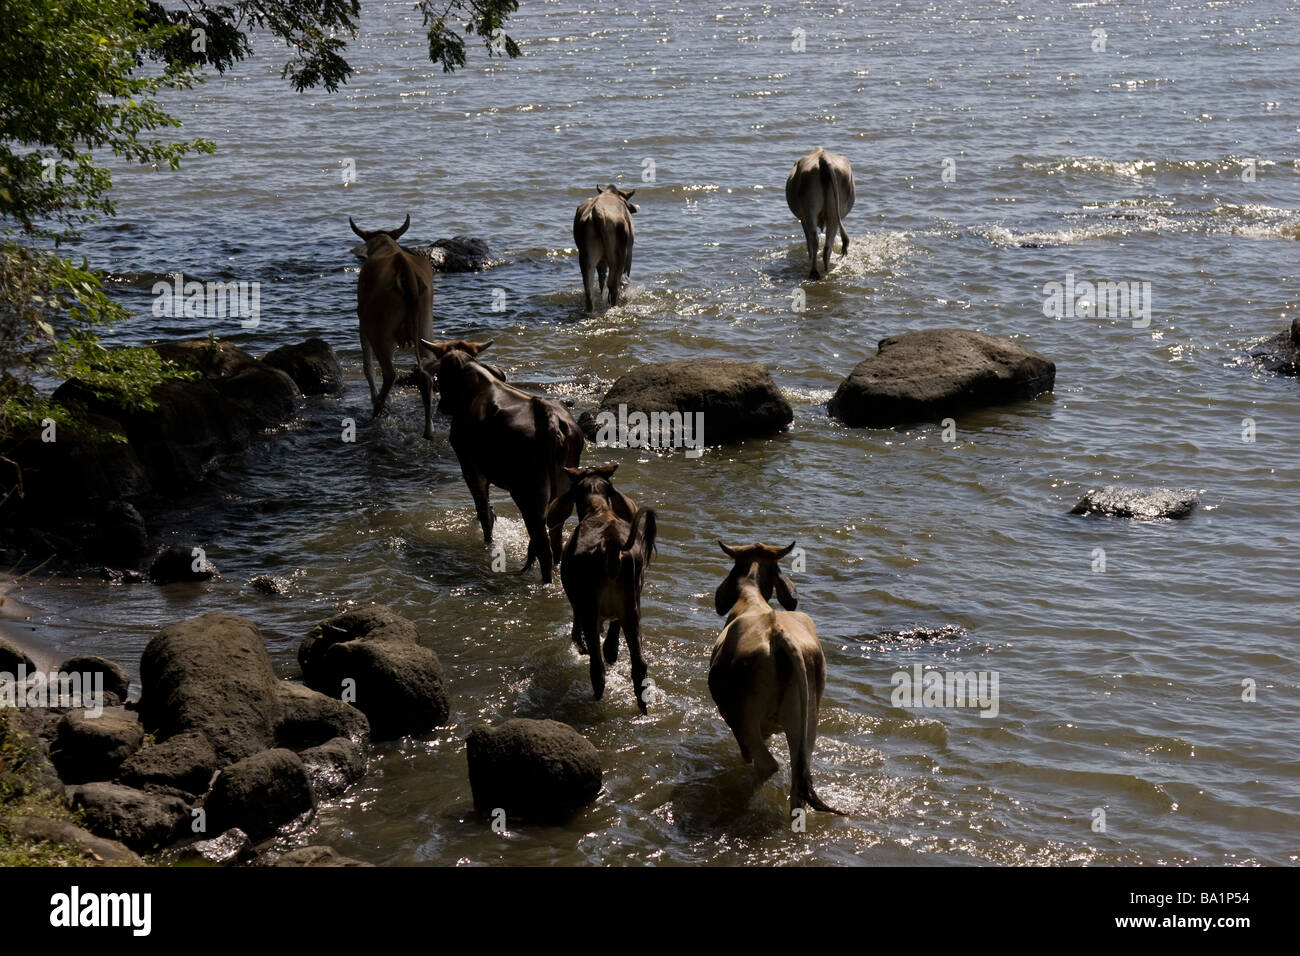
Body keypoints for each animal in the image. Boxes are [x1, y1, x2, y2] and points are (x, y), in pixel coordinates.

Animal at [350, 214, 435, 439]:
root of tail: (403, 266)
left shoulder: (362, 323)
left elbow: (367, 366)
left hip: (379, 332)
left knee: (389, 373)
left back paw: (377, 409)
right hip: (425, 329)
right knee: (427, 372)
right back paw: (428, 429)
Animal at [420, 338, 584, 584]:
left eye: (441, 373)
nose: (442, 407)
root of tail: (548, 414)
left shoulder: (471, 469)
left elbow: (484, 513)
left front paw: (488, 544)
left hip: (529, 496)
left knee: (543, 547)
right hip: (562, 497)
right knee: (555, 541)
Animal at [547, 464, 657, 712]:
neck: (598, 509)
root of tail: (611, 545)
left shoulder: (580, 607)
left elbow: (579, 637)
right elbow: (611, 644)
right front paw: (612, 651)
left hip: (590, 608)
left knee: (597, 669)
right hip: (632, 608)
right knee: (639, 665)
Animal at [709, 541, 842, 815]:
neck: (752, 600)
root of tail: (777, 633)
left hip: (744, 716)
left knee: (766, 764)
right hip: (805, 723)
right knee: (799, 779)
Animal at [785, 147, 855, 280]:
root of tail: (823, 158)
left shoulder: (803, 219)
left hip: (810, 211)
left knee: (814, 240)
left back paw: (814, 272)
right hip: (833, 214)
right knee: (828, 245)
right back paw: (825, 271)